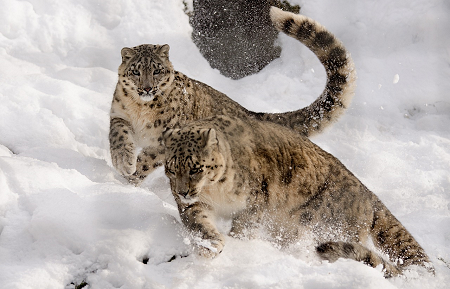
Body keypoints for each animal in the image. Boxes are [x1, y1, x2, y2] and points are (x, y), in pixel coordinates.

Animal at [109, 6, 356, 184]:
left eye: (157, 70)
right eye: (136, 71)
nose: (147, 88)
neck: (141, 110)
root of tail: (250, 112)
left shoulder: (166, 138)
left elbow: (148, 160)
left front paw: (129, 177)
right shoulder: (119, 114)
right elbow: (118, 136)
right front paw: (123, 161)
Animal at [163, 113, 434, 276]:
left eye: (196, 168)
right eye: (171, 168)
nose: (183, 191)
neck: (215, 191)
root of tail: (368, 194)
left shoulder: (254, 202)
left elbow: (244, 227)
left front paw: (239, 243)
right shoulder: (195, 205)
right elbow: (199, 223)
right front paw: (210, 246)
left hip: (324, 226)